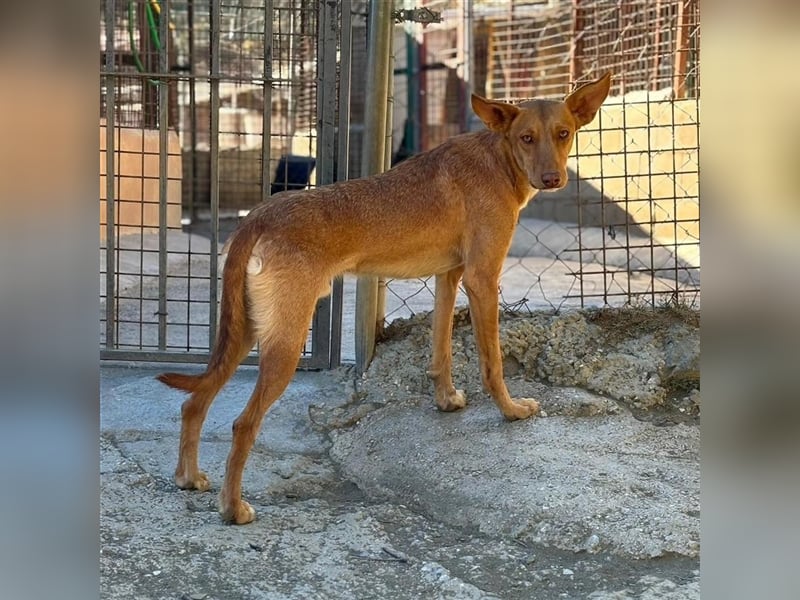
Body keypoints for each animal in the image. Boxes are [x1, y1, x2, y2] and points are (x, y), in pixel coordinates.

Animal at [161, 72, 612, 524]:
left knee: (194, 402)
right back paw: (233, 507)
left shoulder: (449, 276)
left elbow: (441, 350)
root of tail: (257, 216)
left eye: (563, 133)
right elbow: (493, 364)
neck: (498, 158)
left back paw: (189, 477)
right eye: (526, 138)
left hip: (246, 330)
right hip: (285, 341)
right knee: (242, 423)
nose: (553, 178)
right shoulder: (483, 279)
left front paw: (446, 400)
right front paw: (511, 410)